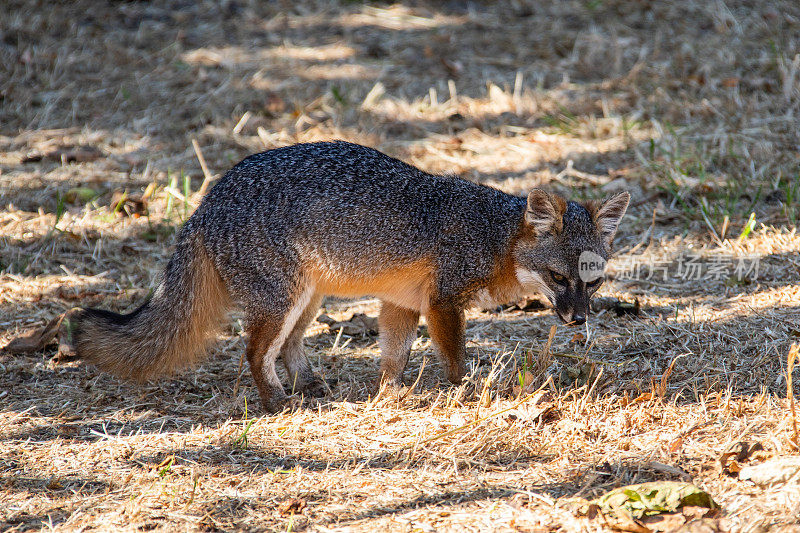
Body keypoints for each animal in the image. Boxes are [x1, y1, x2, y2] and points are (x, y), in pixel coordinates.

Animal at [67, 141, 632, 412]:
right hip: (283, 300)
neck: (492, 235)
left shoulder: (401, 303)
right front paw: (468, 394)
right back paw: (276, 403)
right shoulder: (442, 303)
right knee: (254, 352)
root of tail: (205, 203)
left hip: (308, 300)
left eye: (594, 282)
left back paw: (311, 385)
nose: (579, 321)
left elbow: (394, 358)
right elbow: (454, 360)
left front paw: (390, 397)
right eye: (557, 278)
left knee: (289, 348)